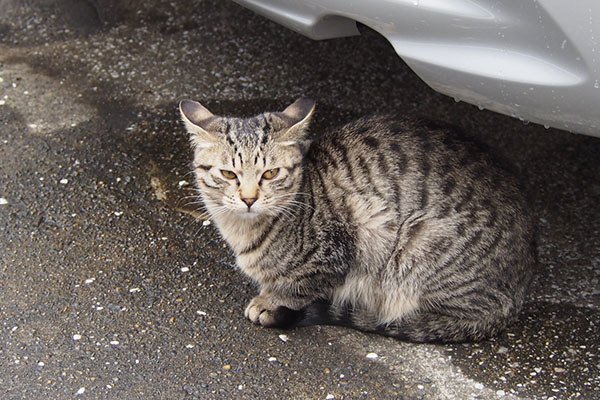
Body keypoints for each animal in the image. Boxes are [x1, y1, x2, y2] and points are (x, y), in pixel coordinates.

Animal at [178, 97, 536, 344]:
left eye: (270, 173)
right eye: (228, 174)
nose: (249, 198)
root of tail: (519, 291)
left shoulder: (351, 237)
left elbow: (300, 286)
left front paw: (270, 300)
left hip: (419, 244)